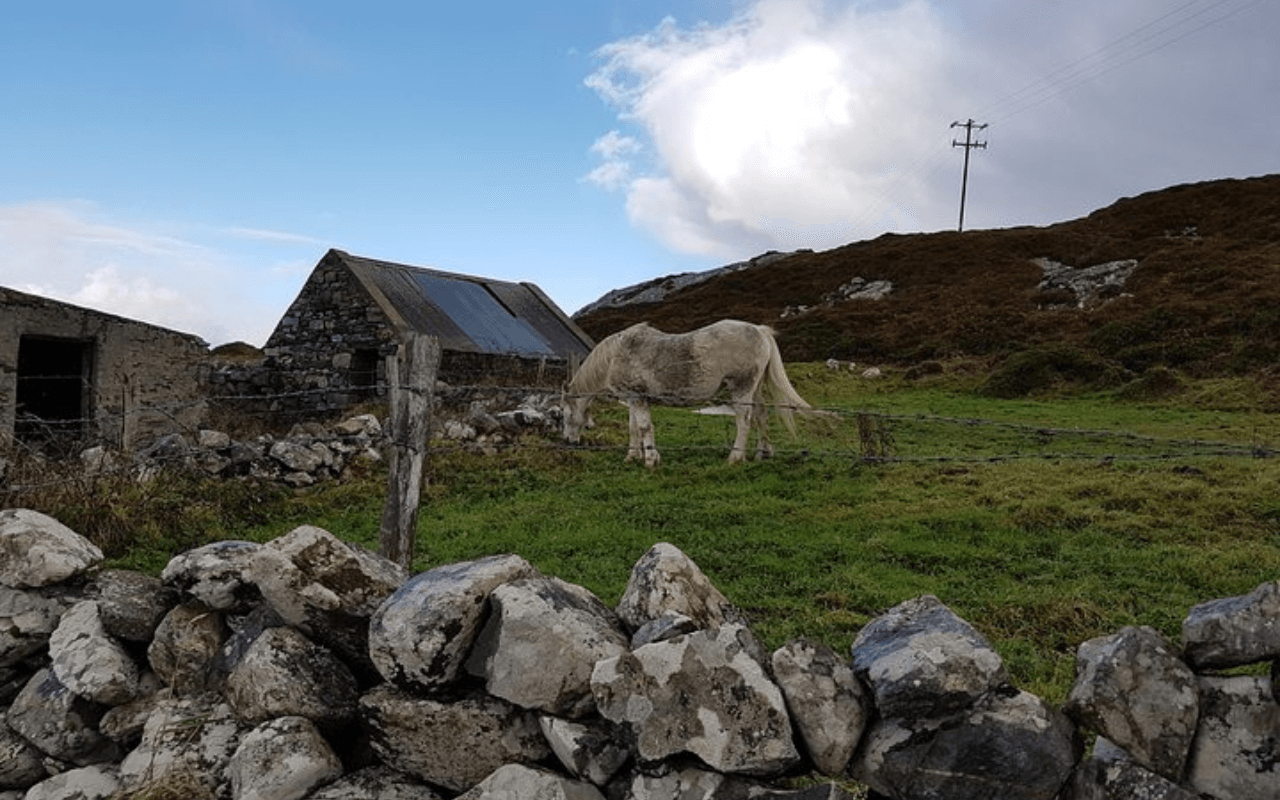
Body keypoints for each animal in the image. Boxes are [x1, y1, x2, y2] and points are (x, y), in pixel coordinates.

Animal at [562, 320, 815, 467]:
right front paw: (632, 456)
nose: (567, 441)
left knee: (744, 421)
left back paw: (734, 458)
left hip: (741, 388)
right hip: (755, 389)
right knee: (762, 415)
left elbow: (643, 428)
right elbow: (634, 428)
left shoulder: (637, 398)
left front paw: (651, 460)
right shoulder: (634, 399)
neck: (613, 356)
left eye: (563, 414)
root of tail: (760, 331)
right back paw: (763, 453)